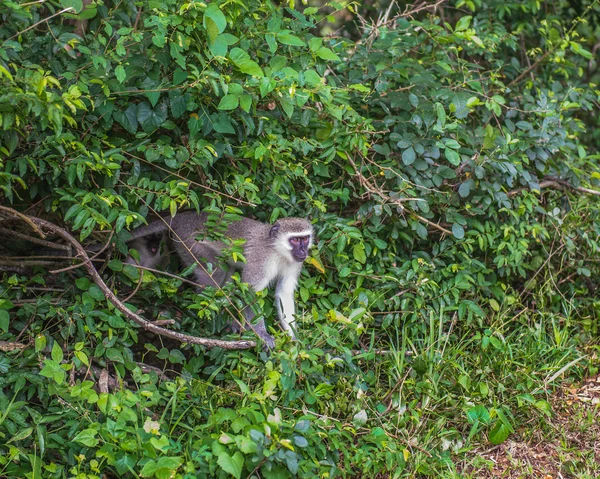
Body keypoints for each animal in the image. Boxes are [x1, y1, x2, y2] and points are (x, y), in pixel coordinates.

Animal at [125, 213, 316, 348]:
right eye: (295, 239)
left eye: (305, 239)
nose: (303, 251)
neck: (277, 251)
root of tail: (181, 217)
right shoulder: (260, 259)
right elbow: (251, 292)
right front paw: (262, 334)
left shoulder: (294, 263)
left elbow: (284, 293)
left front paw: (294, 339)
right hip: (189, 244)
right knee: (215, 273)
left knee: (227, 272)